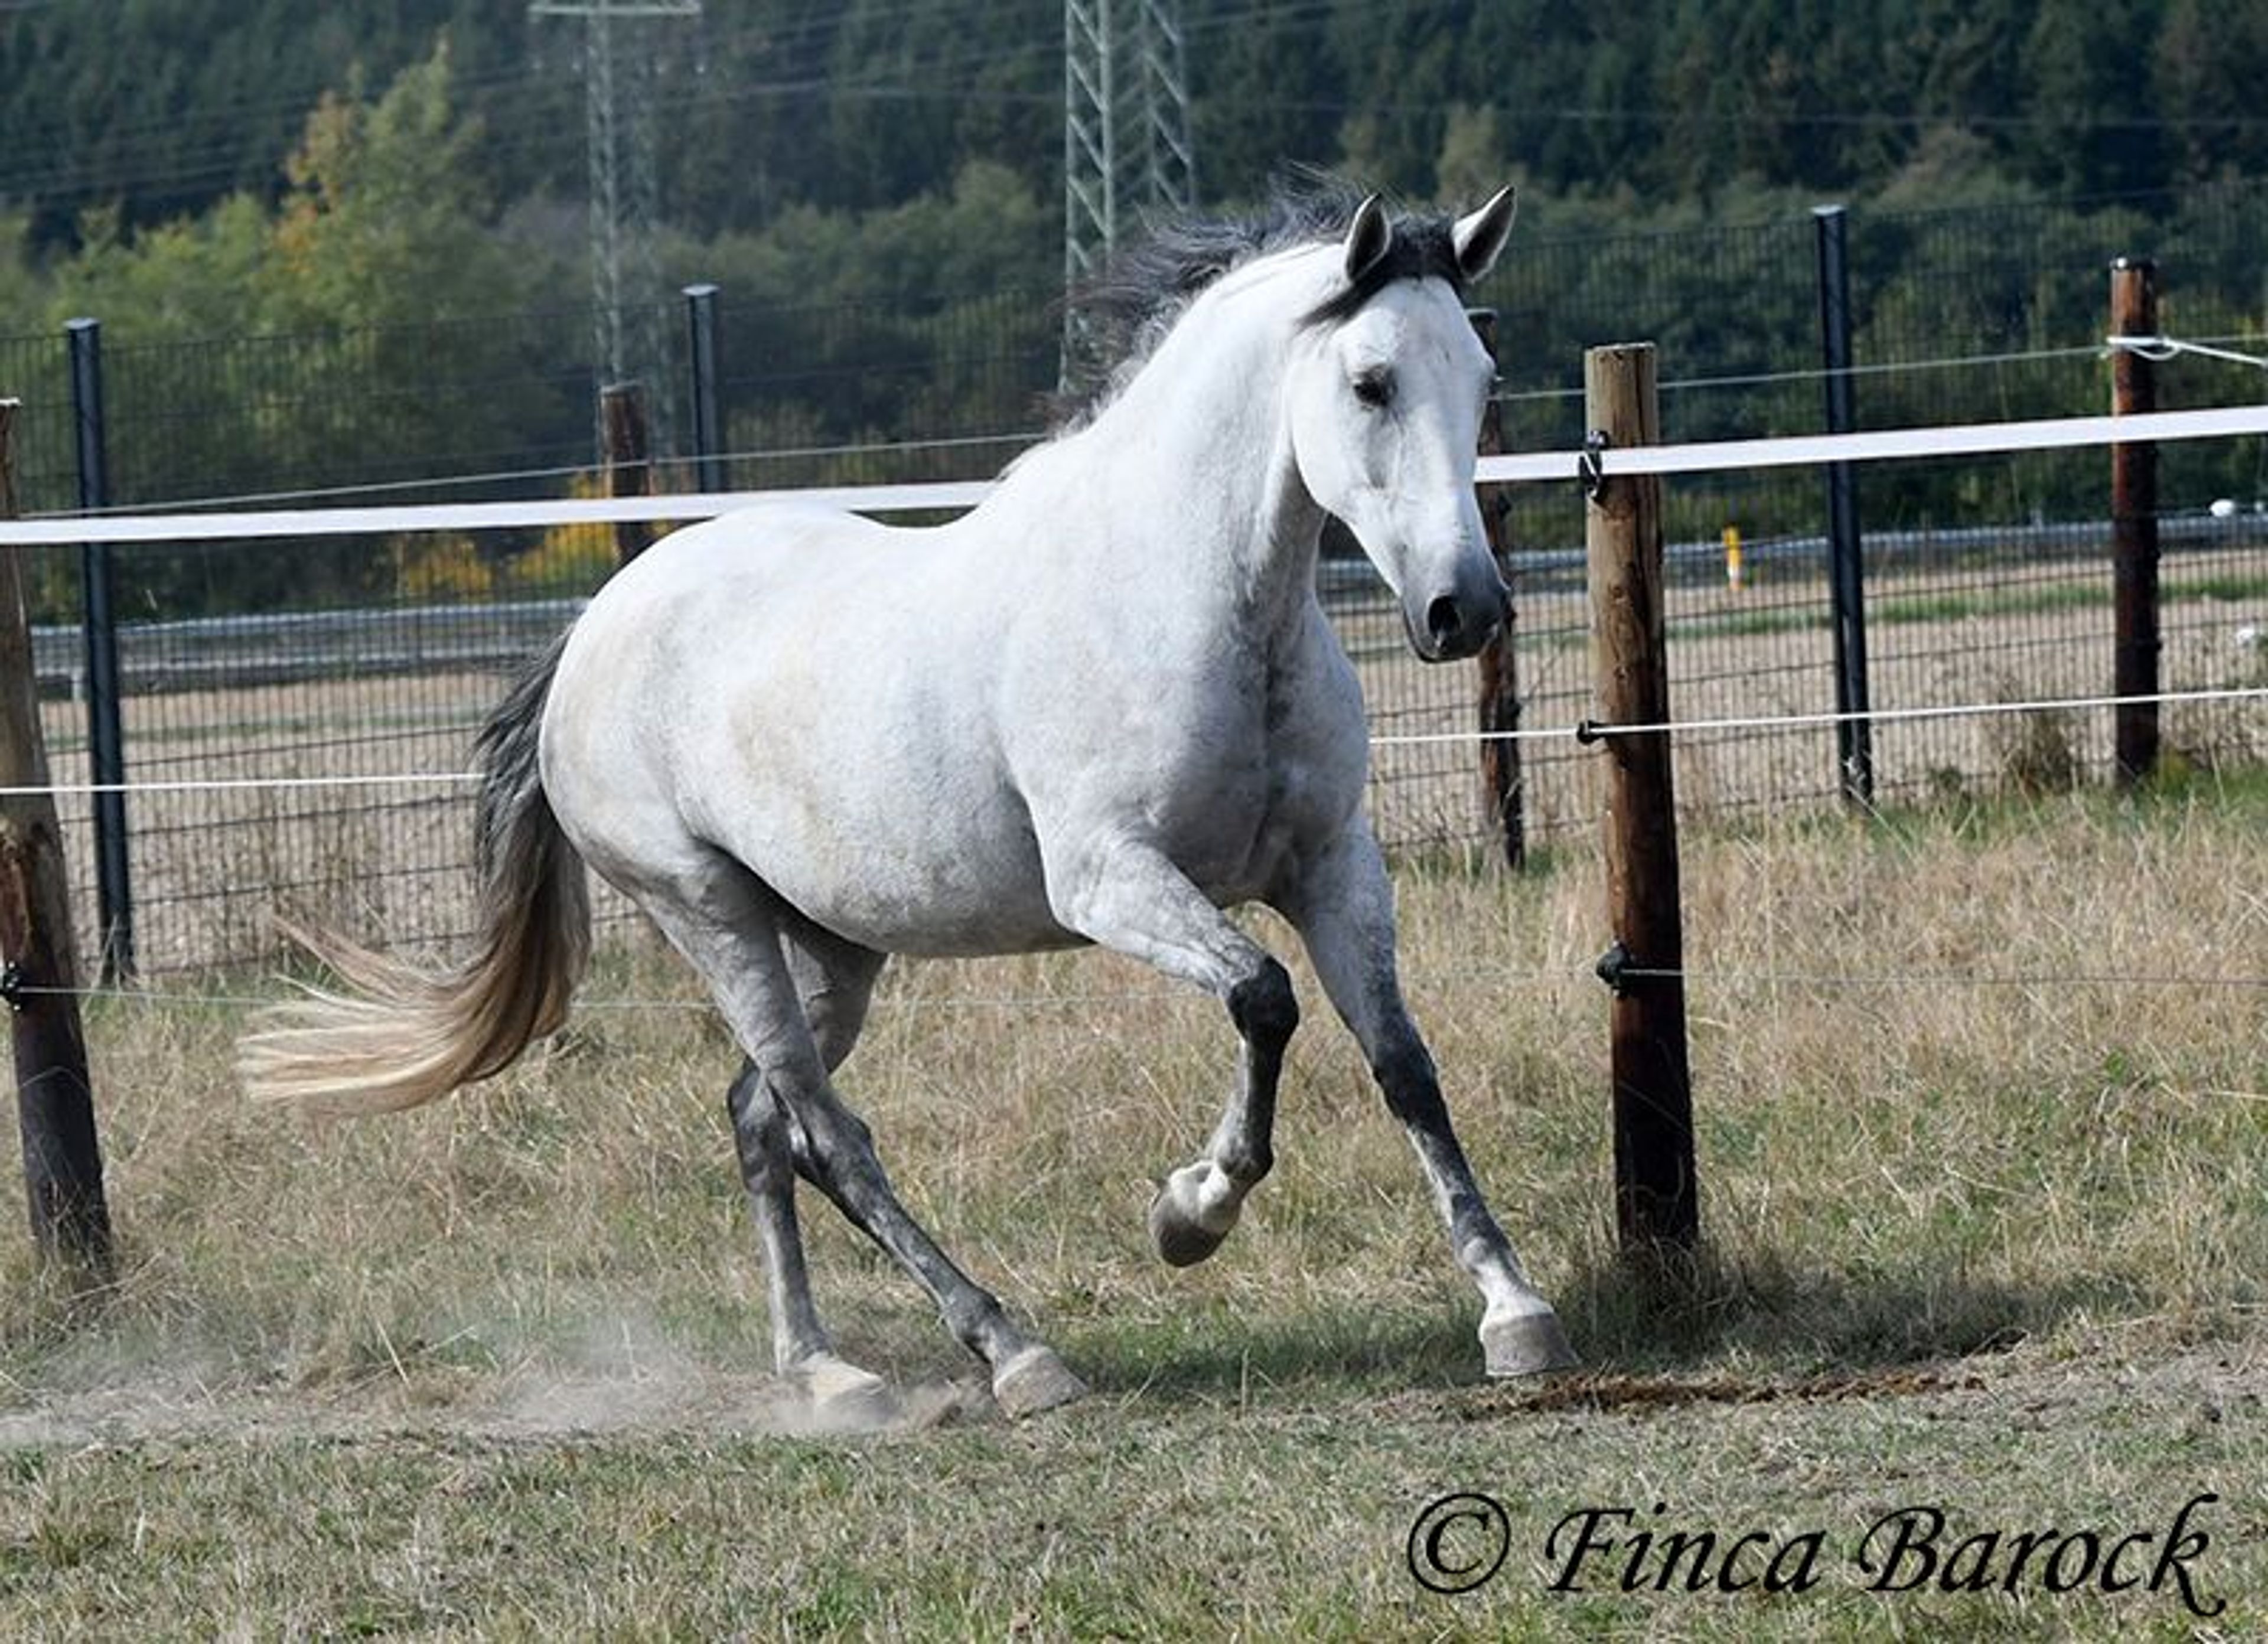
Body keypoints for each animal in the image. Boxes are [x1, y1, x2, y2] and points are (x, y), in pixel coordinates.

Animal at [240, 185, 1577, 1418]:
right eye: (1371, 382)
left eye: (1481, 378)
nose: (1467, 610)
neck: (1188, 597)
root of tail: (590, 631)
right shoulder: (1111, 880)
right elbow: (1263, 998)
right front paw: (1188, 1214)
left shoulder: (1333, 866)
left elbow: (1402, 1063)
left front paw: (1515, 1313)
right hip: (708, 914)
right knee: (828, 1133)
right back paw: (1013, 1355)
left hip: (835, 944)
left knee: (759, 1119)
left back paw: (826, 1371)